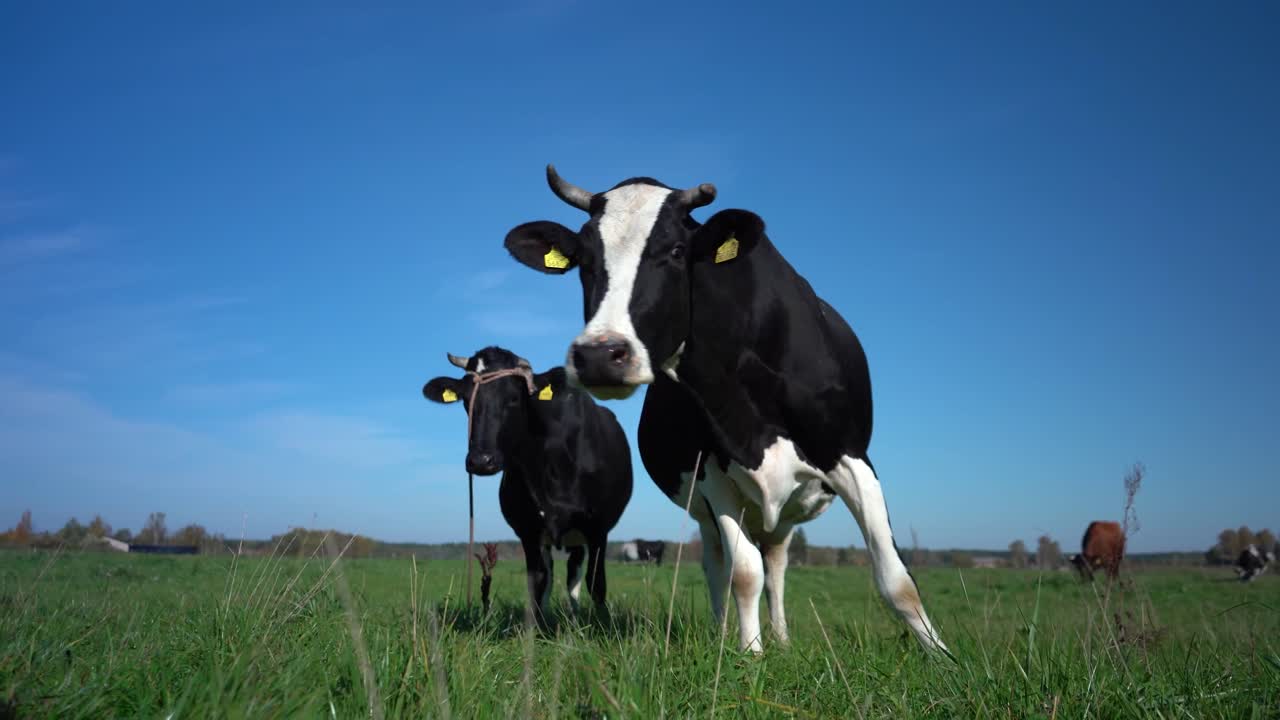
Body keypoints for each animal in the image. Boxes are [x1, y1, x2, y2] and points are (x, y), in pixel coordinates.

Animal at [422, 346, 633, 621]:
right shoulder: (528, 529)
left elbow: (596, 582)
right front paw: (537, 625)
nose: (481, 461)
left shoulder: (598, 526)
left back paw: (575, 618)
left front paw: (602, 624)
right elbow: (538, 581)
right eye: (466, 401)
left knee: (574, 576)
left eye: (513, 398)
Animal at [501, 166, 948, 655]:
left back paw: (782, 637)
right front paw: (749, 655)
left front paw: (942, 658)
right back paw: (724, 633)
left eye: (677, 250)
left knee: (777, 563)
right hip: (707, 514)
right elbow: (744, 573)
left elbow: (895, 578)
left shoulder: (850, 455)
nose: (600, 354)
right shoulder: (711, 473)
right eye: (583, 258)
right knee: (723, 566)